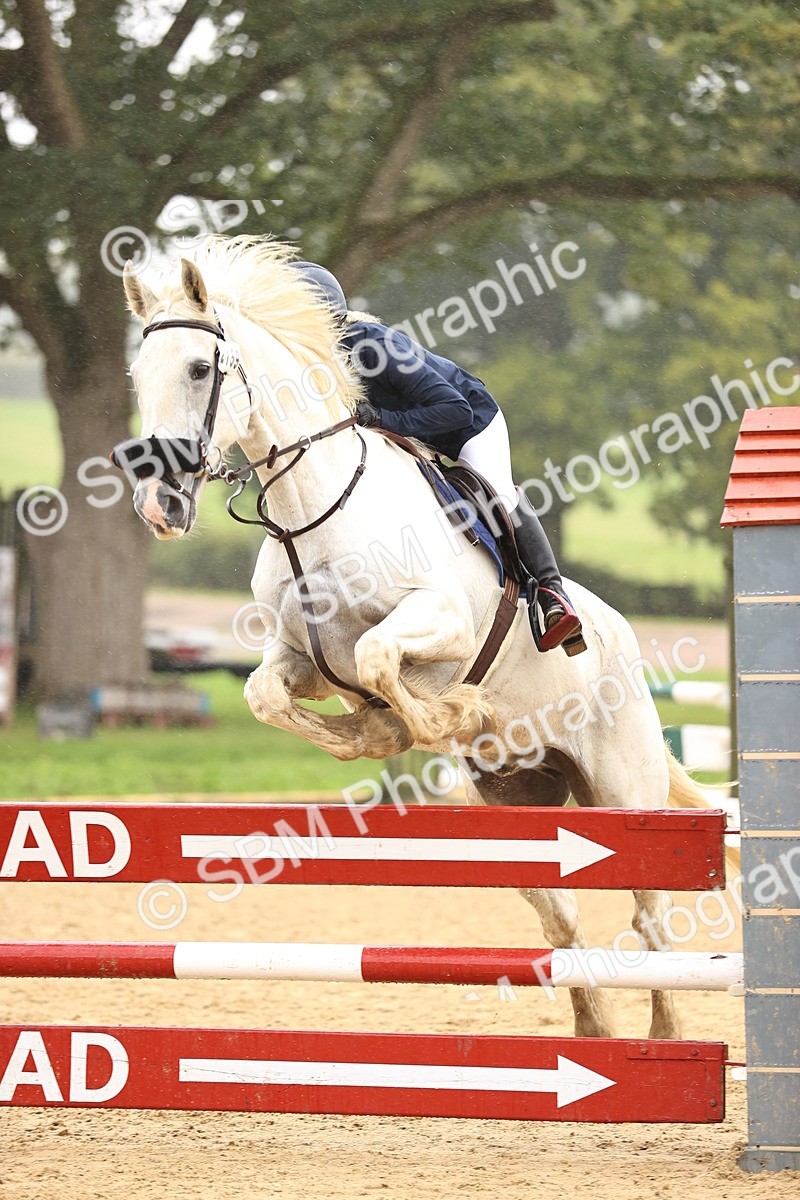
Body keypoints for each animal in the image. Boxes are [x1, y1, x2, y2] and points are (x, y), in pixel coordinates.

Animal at [117, 235, 714, 1041]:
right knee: (560, 917)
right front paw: (374, 732)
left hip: (623, 791)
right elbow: (267, 694)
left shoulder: (444, 623)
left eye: (199, 369)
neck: (313, 509)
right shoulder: (304, 658)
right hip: (515, 806)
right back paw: (598, 1034)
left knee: (653, 918)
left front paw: (442, 716)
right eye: (138, 373)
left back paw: (664, 1040)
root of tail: (622, 637)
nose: (160, 503)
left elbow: (383, 660)